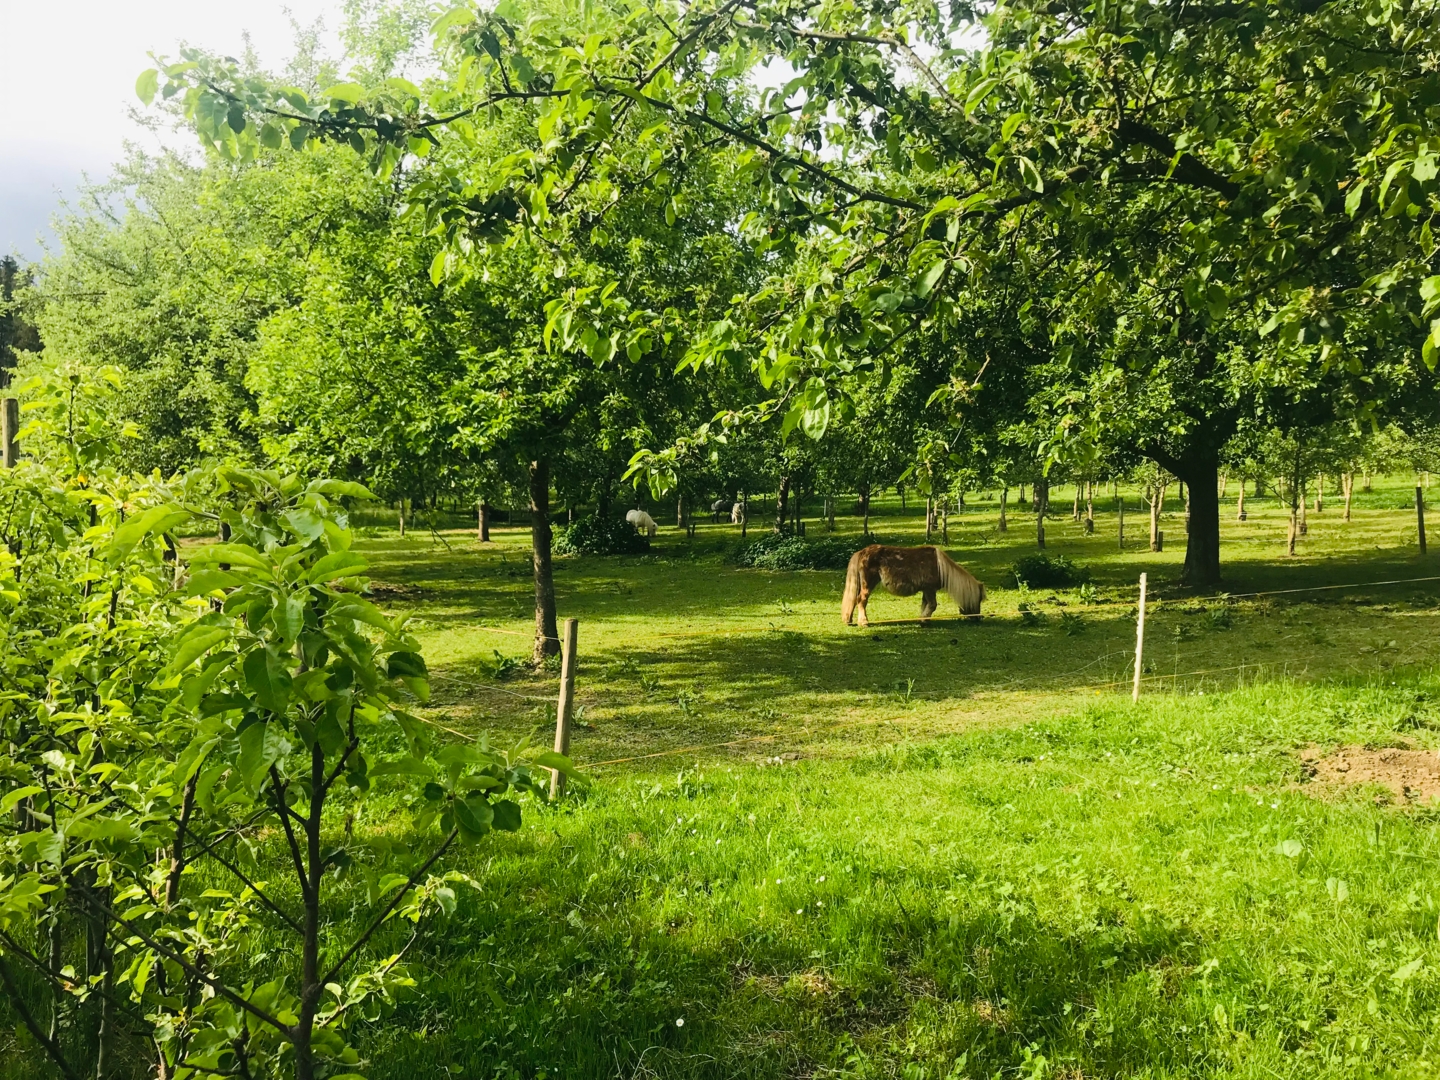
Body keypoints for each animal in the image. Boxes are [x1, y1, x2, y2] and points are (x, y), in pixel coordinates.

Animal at [841, 545, 985, 627]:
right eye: (978, 600)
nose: (978, 618)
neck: (940, 567)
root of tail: (862, 552)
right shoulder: (929, 589)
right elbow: (932, 605)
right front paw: (924, 620)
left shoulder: (926, 590)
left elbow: (925, 605)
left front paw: (923, 619)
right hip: (868, 584)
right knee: (861, 600)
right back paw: (864, 622)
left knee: (854, 600)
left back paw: (849, 620)